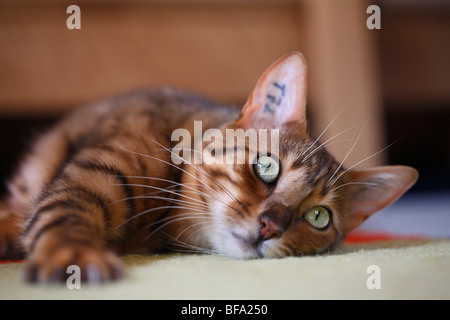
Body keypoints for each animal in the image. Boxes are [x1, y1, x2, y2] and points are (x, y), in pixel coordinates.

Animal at [0, 52, 418, 282]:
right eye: (267, 167)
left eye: (319, 217)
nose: (270, 226)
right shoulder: (90, 178)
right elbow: (63, 215)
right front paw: (71, 257)